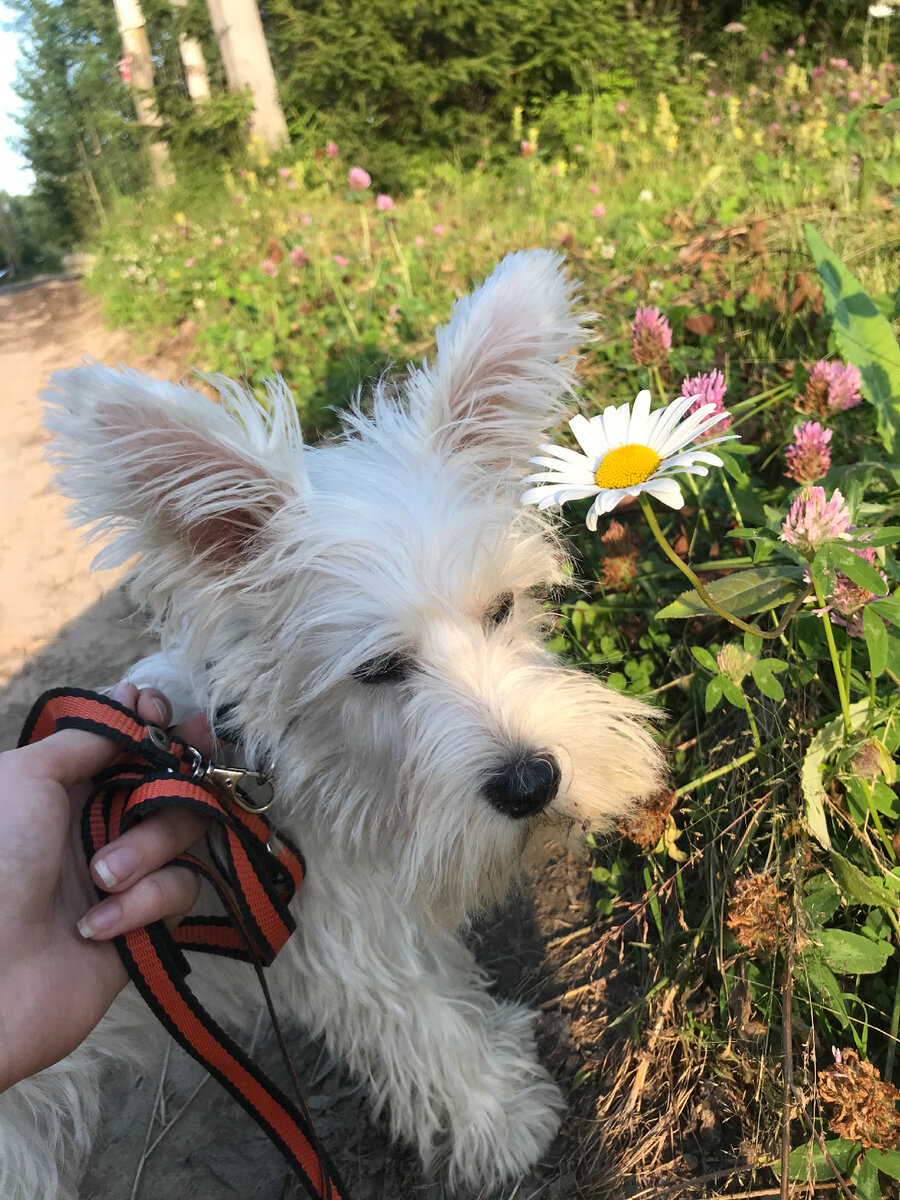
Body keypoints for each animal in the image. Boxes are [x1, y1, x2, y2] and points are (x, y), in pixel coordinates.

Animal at [0, 248, 662, 1195]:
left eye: (501, 608)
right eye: (378, 669)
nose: (533, 780)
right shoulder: (344, 946)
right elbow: (425, 1029)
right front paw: (500, 1120)